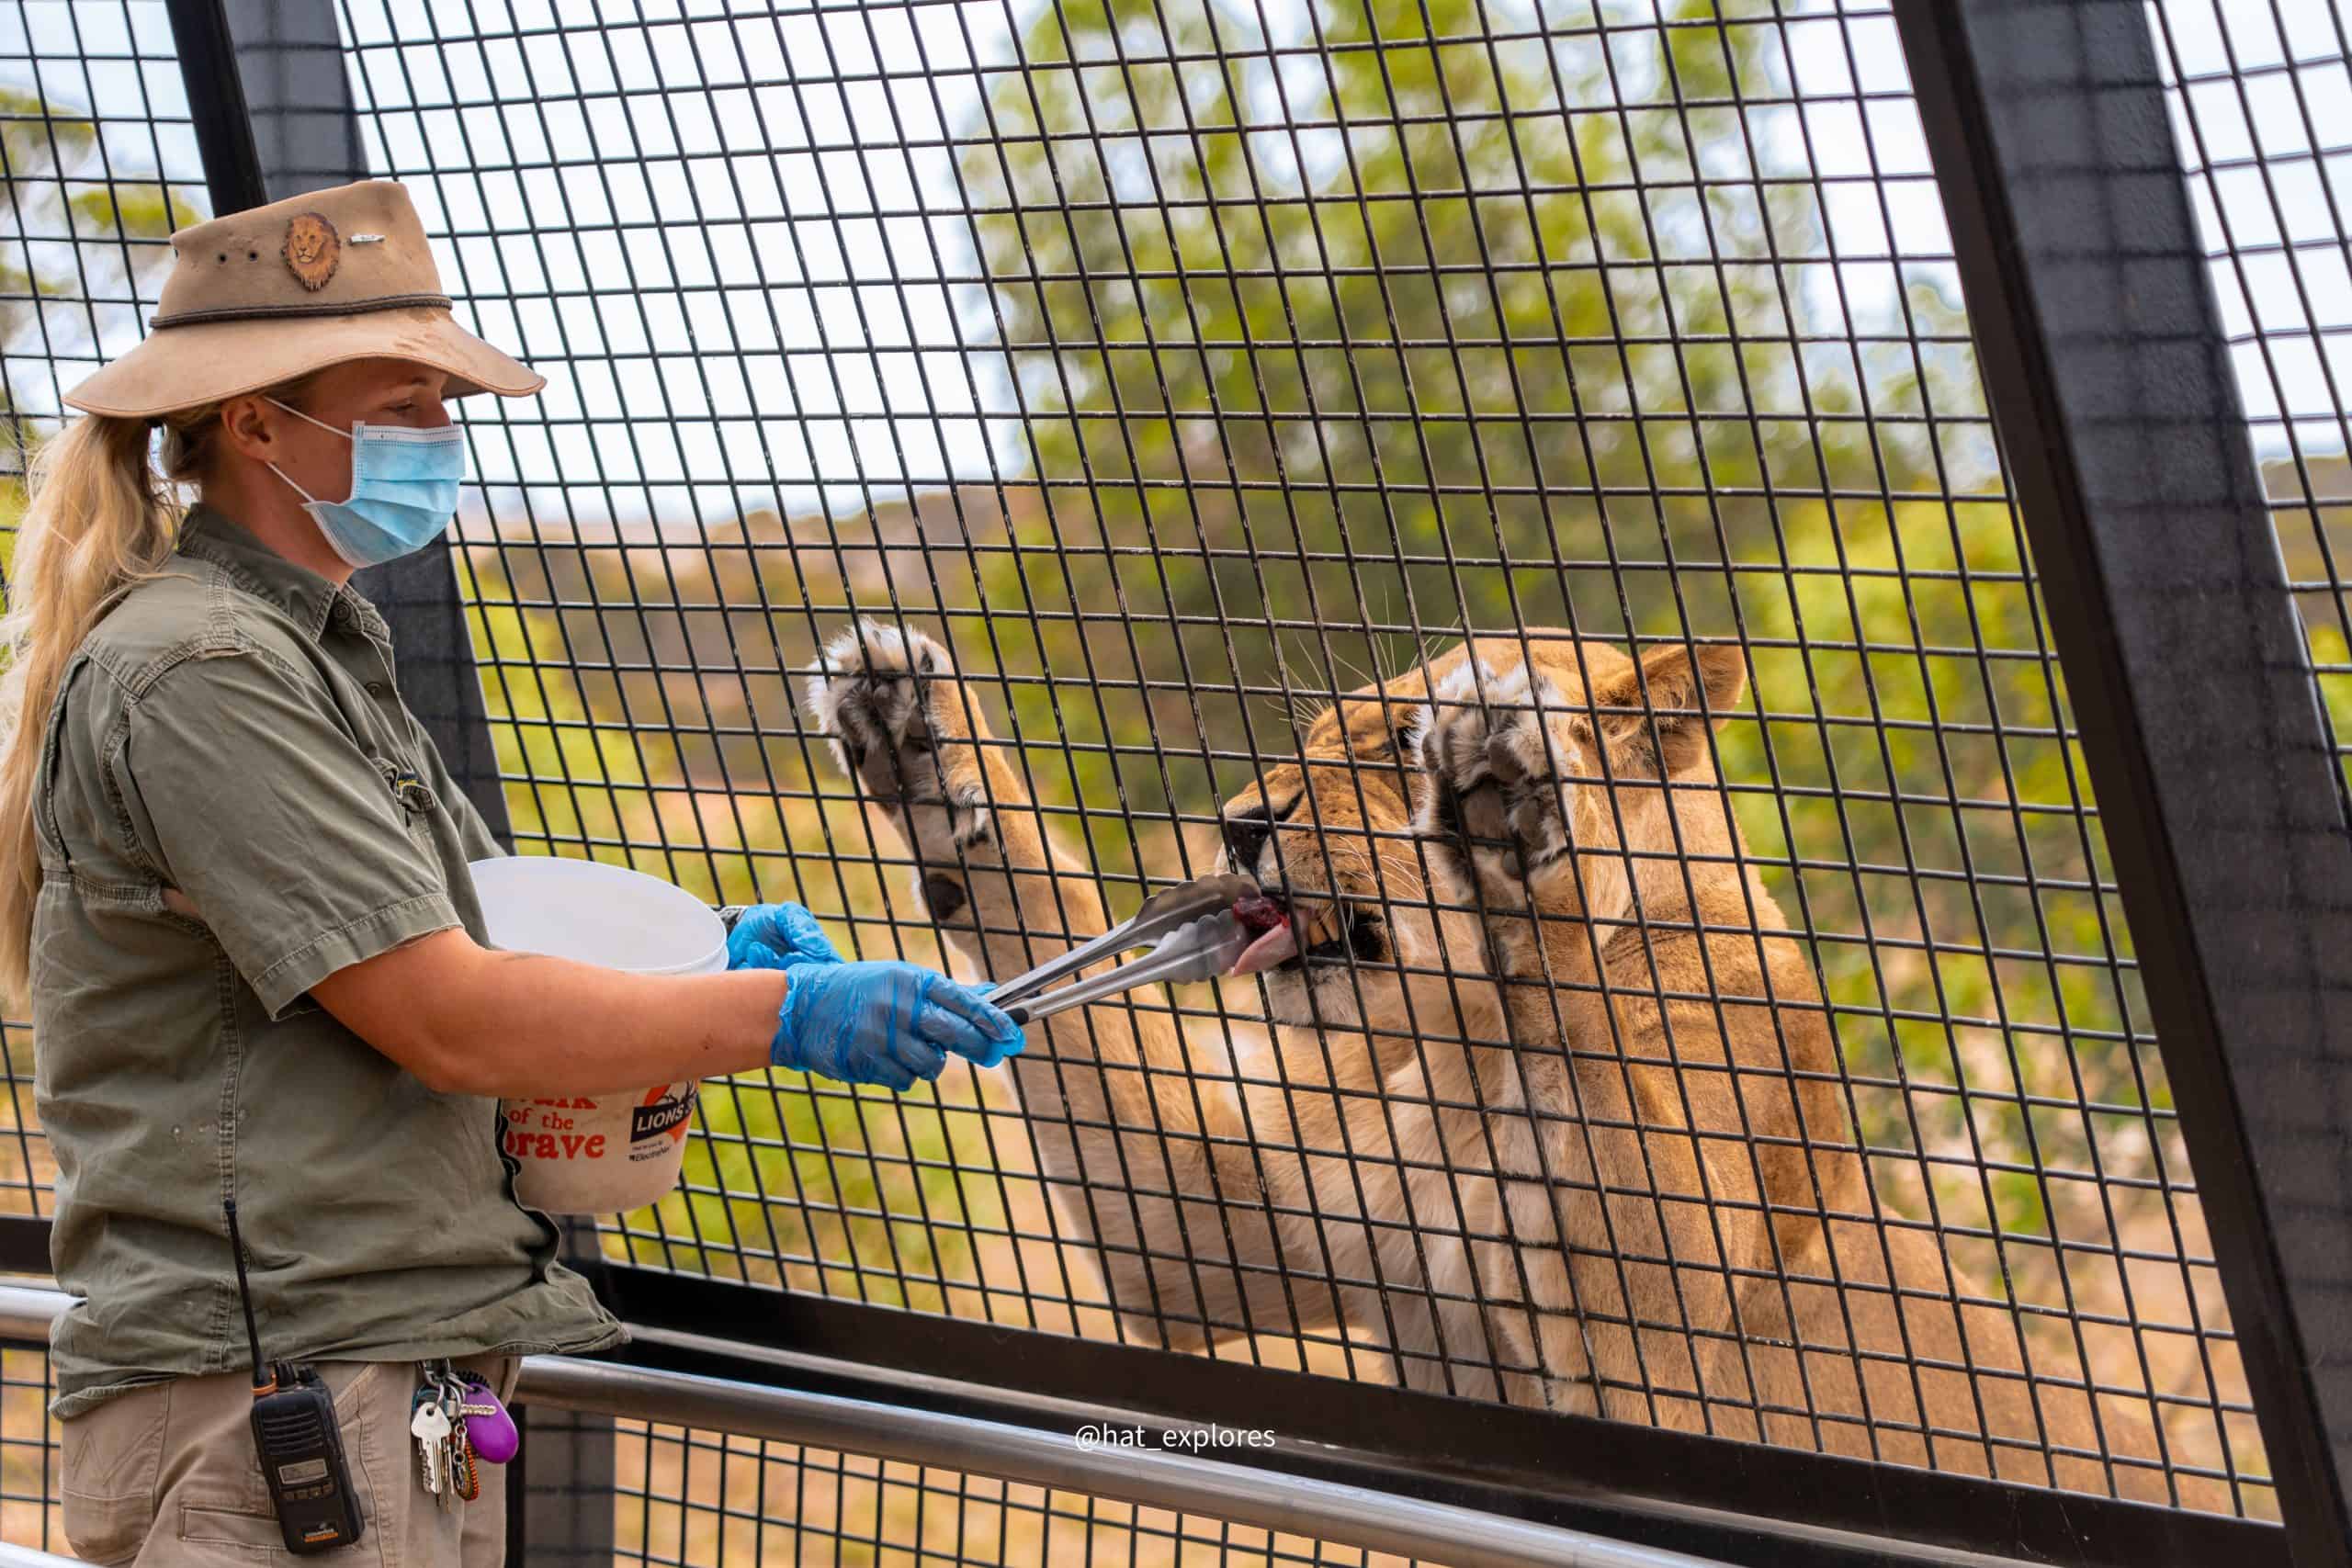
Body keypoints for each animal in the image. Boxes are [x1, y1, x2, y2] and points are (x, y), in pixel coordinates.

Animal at [806, 619, 2190, 1505]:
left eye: (1385, 750)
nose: (1241, 823)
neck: (1463, 1071)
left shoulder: (1674, 1348)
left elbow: (1590, 1055)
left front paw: (1513, 801)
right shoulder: (1215, 1234)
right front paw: (912, 728)